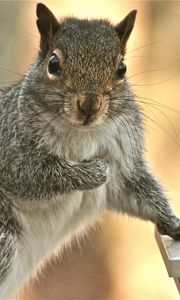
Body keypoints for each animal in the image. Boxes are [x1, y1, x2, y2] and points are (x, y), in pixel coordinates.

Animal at [0, 3, 180, 298]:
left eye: (121, 68)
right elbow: (34, 174)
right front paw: (93, 172)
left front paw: (173, 224)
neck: (82, 132)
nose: (89, 105)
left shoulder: (125, 163)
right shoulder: (10, 150)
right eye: (53, 64)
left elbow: (138, 191)